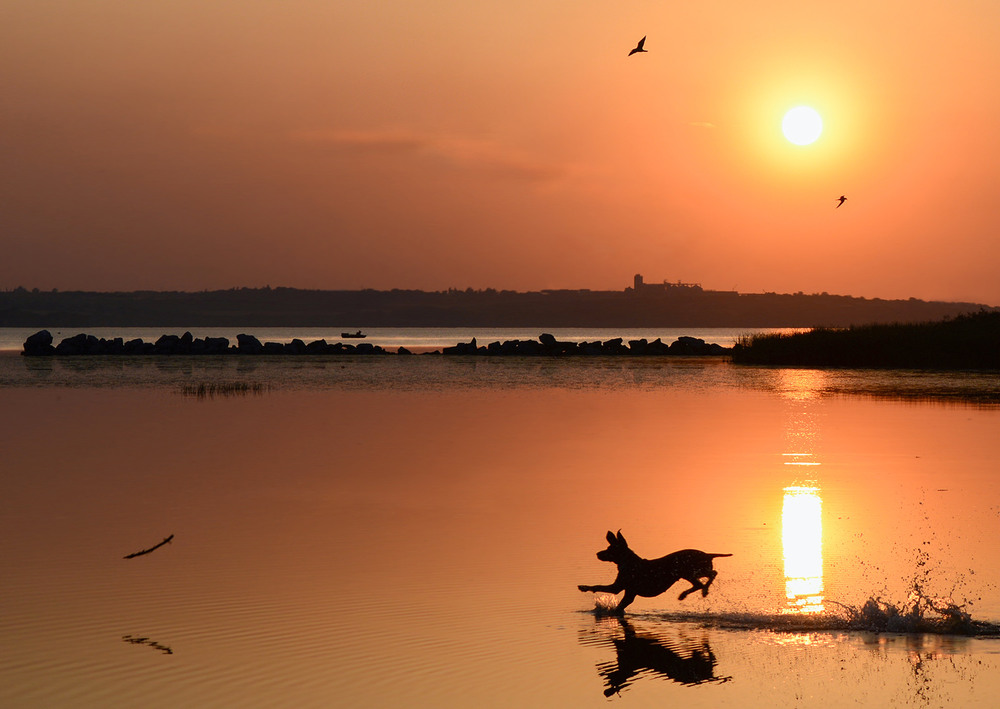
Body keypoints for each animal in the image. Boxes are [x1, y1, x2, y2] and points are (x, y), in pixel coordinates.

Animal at [576, 528, 732, 612]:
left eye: (611, 549)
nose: (597, 554)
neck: (630, 563)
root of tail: (708, 554)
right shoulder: (625, 591)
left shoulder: (622, 589)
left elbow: (599, 588)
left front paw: (584, 587)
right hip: (691, 572)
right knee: (704, 580)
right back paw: (695, 592)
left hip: (689, 571)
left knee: (708, 577)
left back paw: (698, 592)